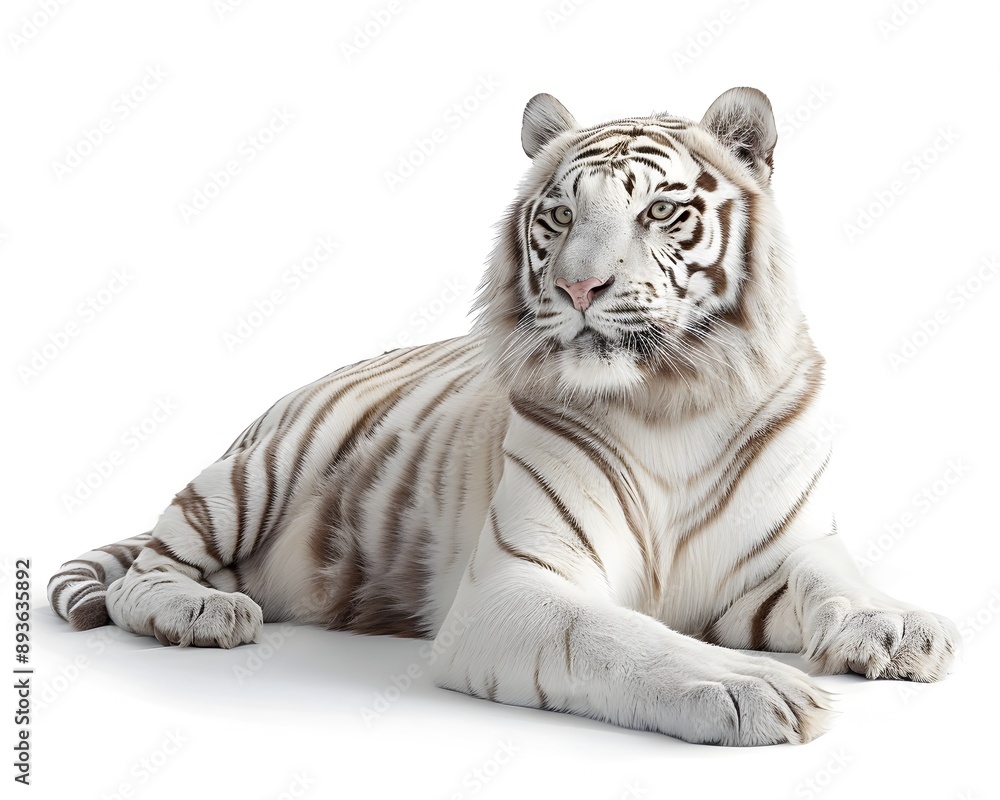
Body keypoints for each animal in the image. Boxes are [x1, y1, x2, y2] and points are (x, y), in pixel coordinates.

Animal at [48, 87, 958, 746]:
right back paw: (201, 613)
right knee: (144, 572)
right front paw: (751, 686)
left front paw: (897, 627)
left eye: (659, 211)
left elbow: (832, 575)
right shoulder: (514, 587)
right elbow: (620, 638)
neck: (670, 399)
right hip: (258, 471)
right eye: (559, 214)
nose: (579, 286)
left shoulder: (766, 568)